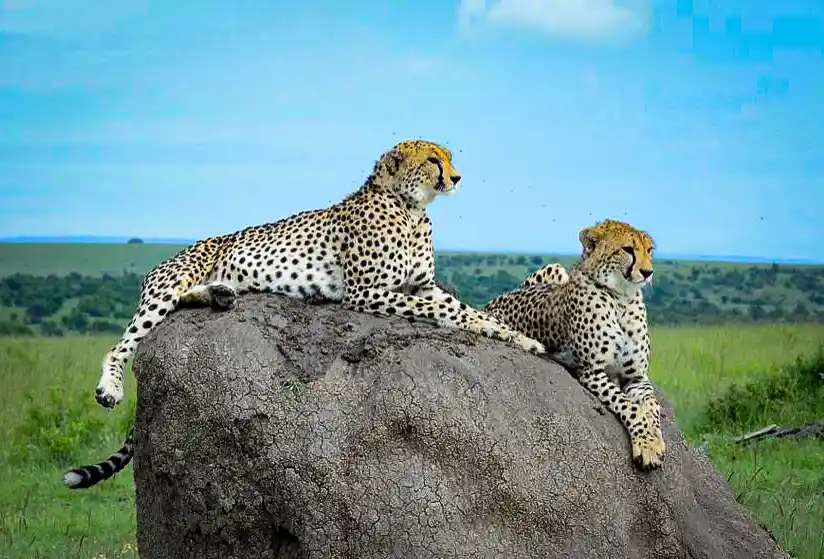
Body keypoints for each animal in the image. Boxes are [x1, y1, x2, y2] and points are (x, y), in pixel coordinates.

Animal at [63, 139, 546, 489]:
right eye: (433, 159)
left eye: (449, 156)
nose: (458, 177)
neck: (410, 208)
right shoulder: (368, 293)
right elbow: (443, 310)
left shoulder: (419, 285)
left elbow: (462, 309)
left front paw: (519, 338)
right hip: (169, 285)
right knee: (123, 343)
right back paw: (110, 388)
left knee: (184, 301)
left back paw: (220, 293)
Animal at [484, 218, 666, 470]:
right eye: (628, 249)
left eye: (649, 250)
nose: (648, 272)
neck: (622, 299)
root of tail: (491, 302)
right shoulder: (592, 372)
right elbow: (630, 405)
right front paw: (647, 444)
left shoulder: (636, 377)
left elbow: (651, 405)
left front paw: (654, 439)